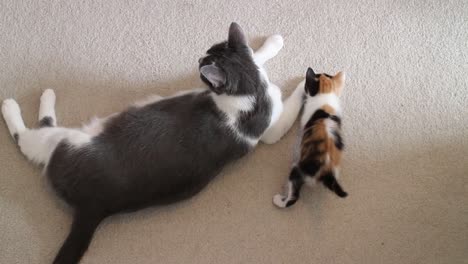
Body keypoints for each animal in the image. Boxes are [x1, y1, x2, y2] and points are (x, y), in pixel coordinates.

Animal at [0, 23, 304, 264]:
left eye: (202, 64)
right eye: (207, 52)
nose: (198, 58)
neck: (251, 94)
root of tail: (95, 205)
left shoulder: (268, 131)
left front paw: (304, 83)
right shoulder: (264, 117)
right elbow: (257, 60)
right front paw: (279, 50)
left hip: (64, 142)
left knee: (30, 137)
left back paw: (20, 103)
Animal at [272, 67, 346, 208]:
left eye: (306, 85)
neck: (326, 97)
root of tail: (327, 173)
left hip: (298, 170)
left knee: (293, 196)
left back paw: (279, 200)